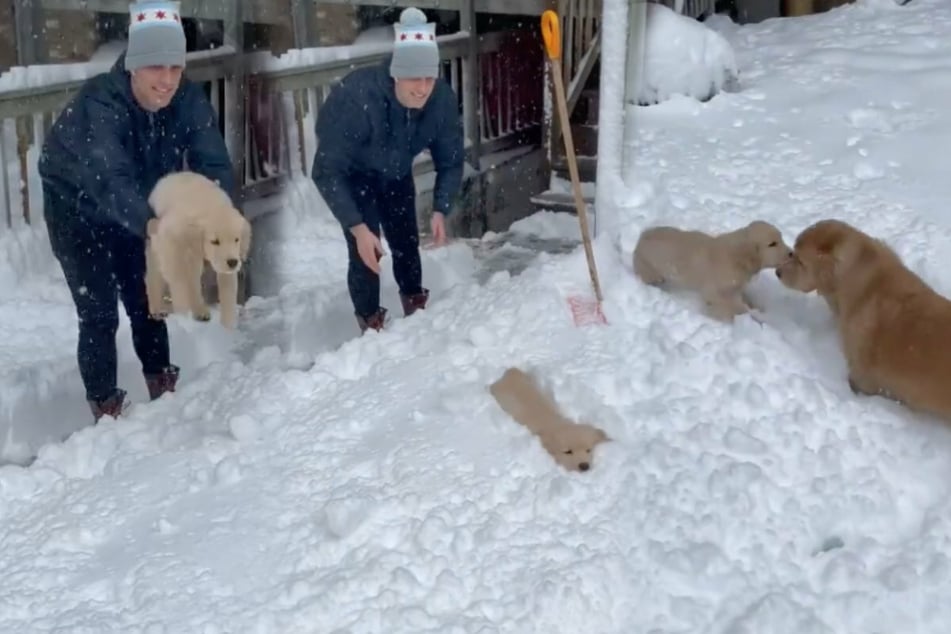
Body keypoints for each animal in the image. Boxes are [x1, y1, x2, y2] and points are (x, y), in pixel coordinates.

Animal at [143, 170, 251, 328]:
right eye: (214, 241)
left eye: (236, 239)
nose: (232, 262)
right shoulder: (176, 241)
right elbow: (181, 277)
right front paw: (188, 313)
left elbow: (227, 284)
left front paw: (228, 325)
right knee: (155, 275)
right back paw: (159, 309)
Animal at [636, 221, 792, 320]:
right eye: (772, 244)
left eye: (781, 238)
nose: (791, 253)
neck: (738, 257)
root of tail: (642, 237)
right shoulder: (713, 292)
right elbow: (731, 308)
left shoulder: (735, 289)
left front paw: (756, 309)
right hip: (649, 272)